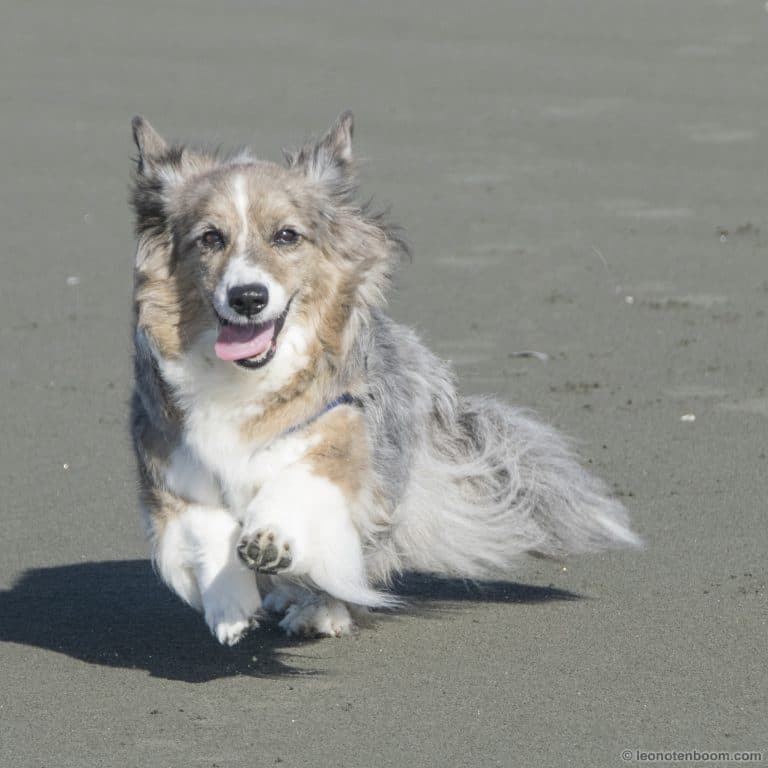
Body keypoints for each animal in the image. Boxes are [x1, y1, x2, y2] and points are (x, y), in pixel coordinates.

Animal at [129, 111, 640, 644]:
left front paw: (271, 540)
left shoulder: (341, 432)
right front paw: (228, 606)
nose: (247, 297)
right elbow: (203, 529)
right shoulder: (171, 456)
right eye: (211, 238)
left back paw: (320, 611)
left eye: (287, 236)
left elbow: (299, 482)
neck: (247, 378)